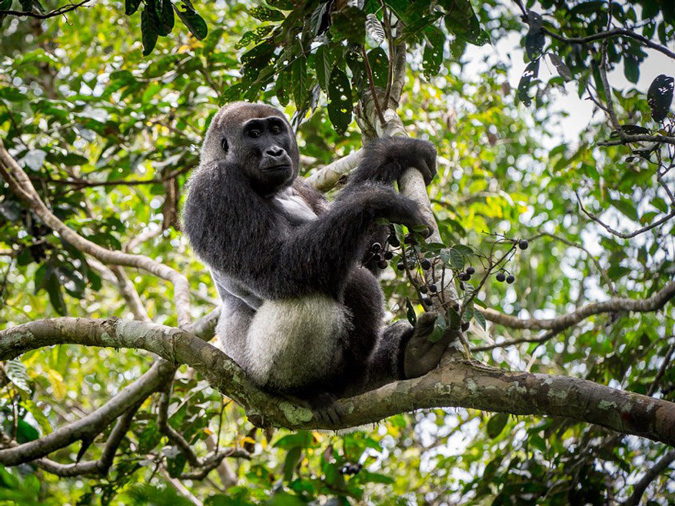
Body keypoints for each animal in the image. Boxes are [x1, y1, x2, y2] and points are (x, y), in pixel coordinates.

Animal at [185, 102, 448, 408]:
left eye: (276, 129)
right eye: (254, 134)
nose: (275, 151)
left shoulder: (300, 186)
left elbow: (361, 255)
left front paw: (395, 152)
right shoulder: (215, 184)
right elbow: (278, 267)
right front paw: (378, 199)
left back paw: (414, 353)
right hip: (259, 375)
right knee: (322, 294)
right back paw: (309, 391)